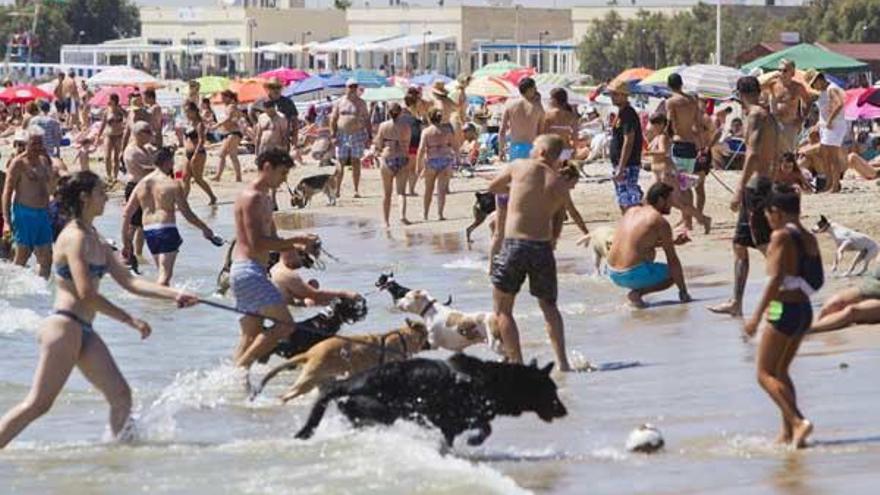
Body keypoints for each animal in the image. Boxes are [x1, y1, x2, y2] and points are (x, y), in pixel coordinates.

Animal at [251, 318, 430, 404]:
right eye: (427, 333)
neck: (403, 337)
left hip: (323, 380)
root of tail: (311, 352)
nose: (432, 342)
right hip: (308, 380)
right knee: (286, 395)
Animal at [292, 354, 568, 448]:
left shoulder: (453, 423)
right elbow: (485, 428)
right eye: (551, 391)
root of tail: (350, 383)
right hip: (383, 410)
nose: (564, 411)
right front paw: (474, 441)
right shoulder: (456, 419)